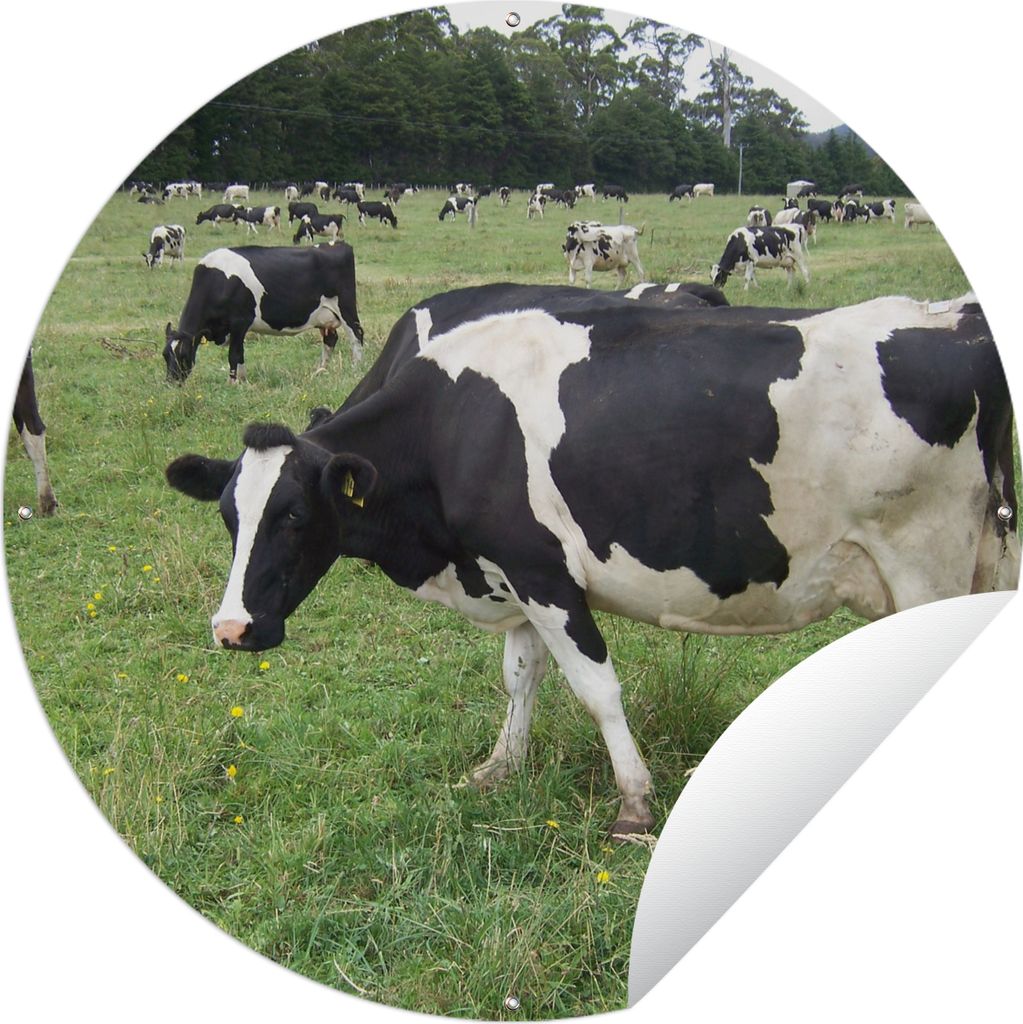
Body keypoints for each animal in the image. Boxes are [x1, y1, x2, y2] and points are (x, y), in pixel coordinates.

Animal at [161, 244, 364, 382]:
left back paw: (356, 370)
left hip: (346, 307)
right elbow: (240, 354)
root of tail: (338, 244)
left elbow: (234, 354)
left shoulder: (240, 321)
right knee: (330, 339)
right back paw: (320, 371)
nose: (172, 382)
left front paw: (233, 383)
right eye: (165, 355)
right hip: (325, 317)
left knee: (357, 335)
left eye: (183, 354)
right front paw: (242, 380)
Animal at [165, 290, 1018, 838]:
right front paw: (499, 767)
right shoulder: (510, 571)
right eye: (228, 516)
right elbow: (519, 676)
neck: (452, 427)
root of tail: (956, 319)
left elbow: (596, 689)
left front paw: (634, 806)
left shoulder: (541, 569)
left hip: (924, 560)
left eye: (294, 516)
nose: (232, 629)